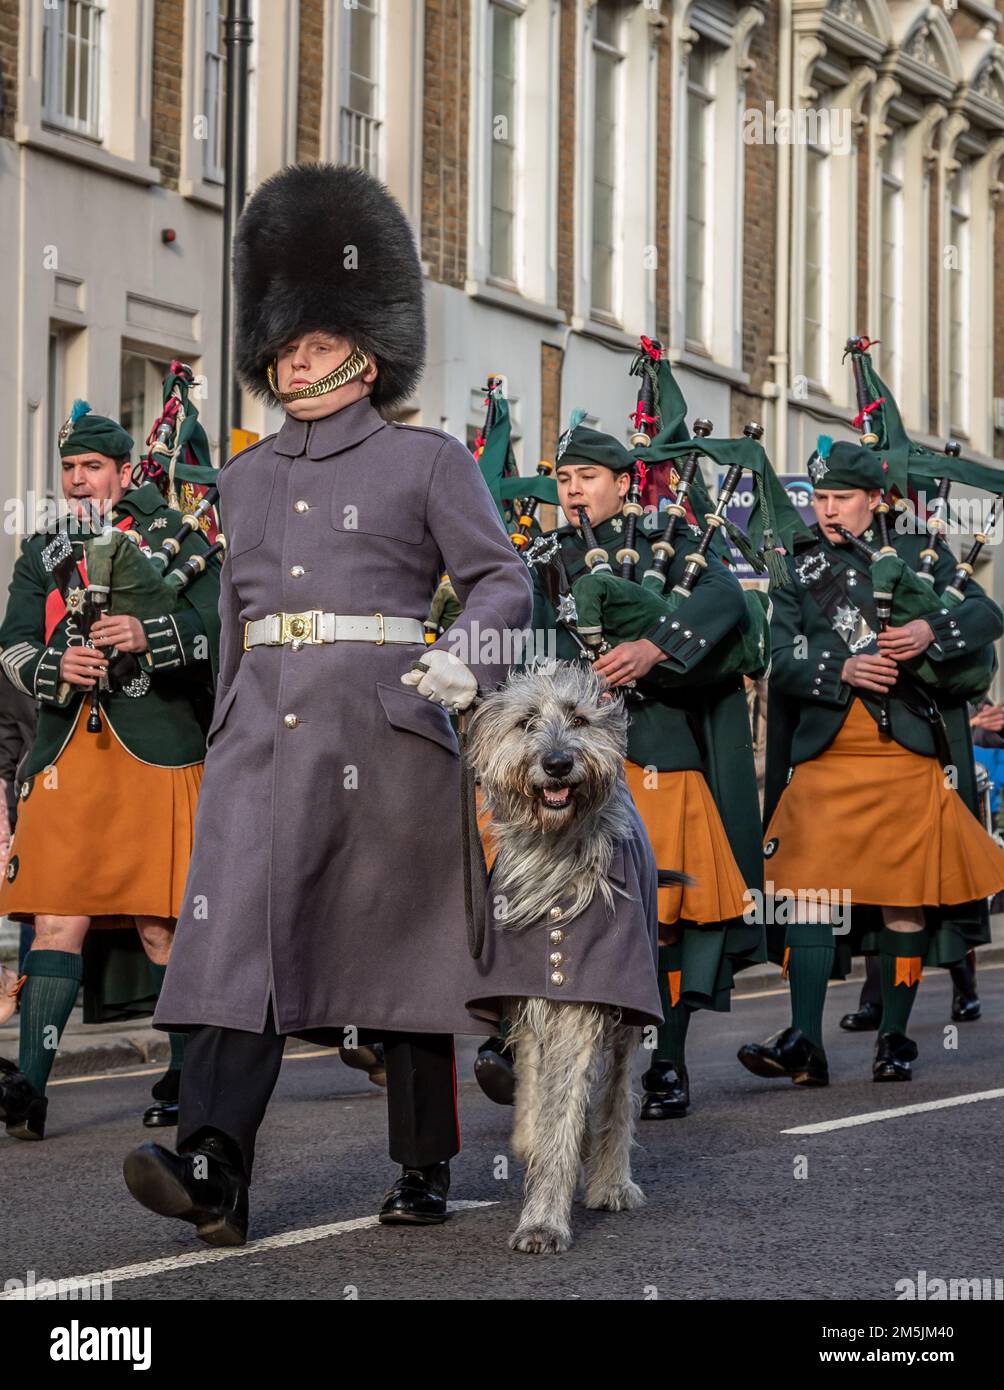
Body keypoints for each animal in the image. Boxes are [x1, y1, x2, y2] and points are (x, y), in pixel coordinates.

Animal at [464, 661, 648, 1262]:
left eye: (579, 719)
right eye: (526, 722)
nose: (558, 763)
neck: (556, 856)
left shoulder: (586, 997)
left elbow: (569, 1102)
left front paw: (543, 1220)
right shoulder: (527, 995)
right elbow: (537, 1083)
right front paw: (531, 1141)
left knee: (617, 1090)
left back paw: (611, 1179)